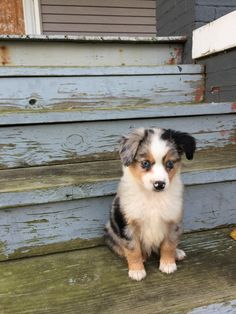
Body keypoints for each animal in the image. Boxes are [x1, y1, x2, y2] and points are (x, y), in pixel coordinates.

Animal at [104, 127, 195, 282]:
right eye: (145, 163)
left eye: (170, 164)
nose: (159, 184)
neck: (153, 197)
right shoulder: (127, 225)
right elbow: (133, 249)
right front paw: (137, 270)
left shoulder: (173, 221)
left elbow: (169, 245)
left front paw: (168, 264)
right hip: (111, 230)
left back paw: (177, 253)